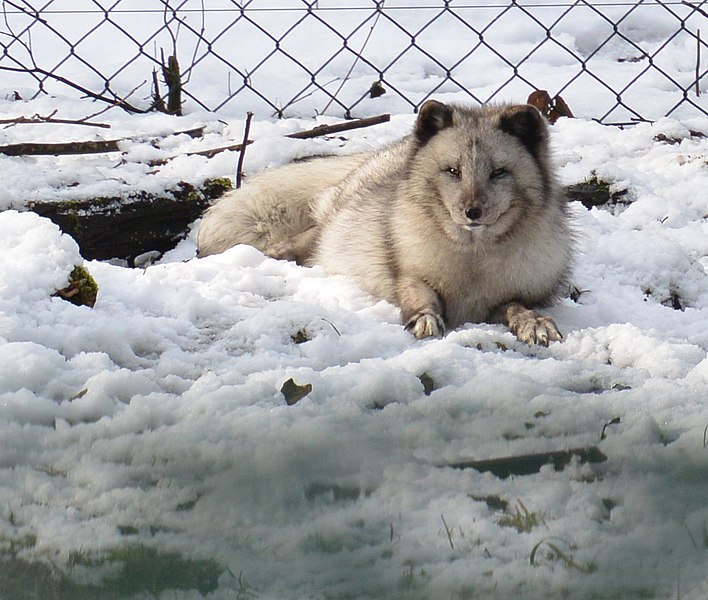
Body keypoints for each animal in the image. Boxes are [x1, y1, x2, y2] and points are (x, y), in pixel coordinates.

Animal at [196, 101, 572, 344]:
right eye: (453, 170)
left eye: (498, 173)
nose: (472, 212)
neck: (472, 262)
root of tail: (390, 151)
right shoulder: (405, 275)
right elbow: (419, 295)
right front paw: (424, 319)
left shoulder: (512, 297)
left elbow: (517, 307)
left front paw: (534, 323)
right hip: (322, 233)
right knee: (293, 245)